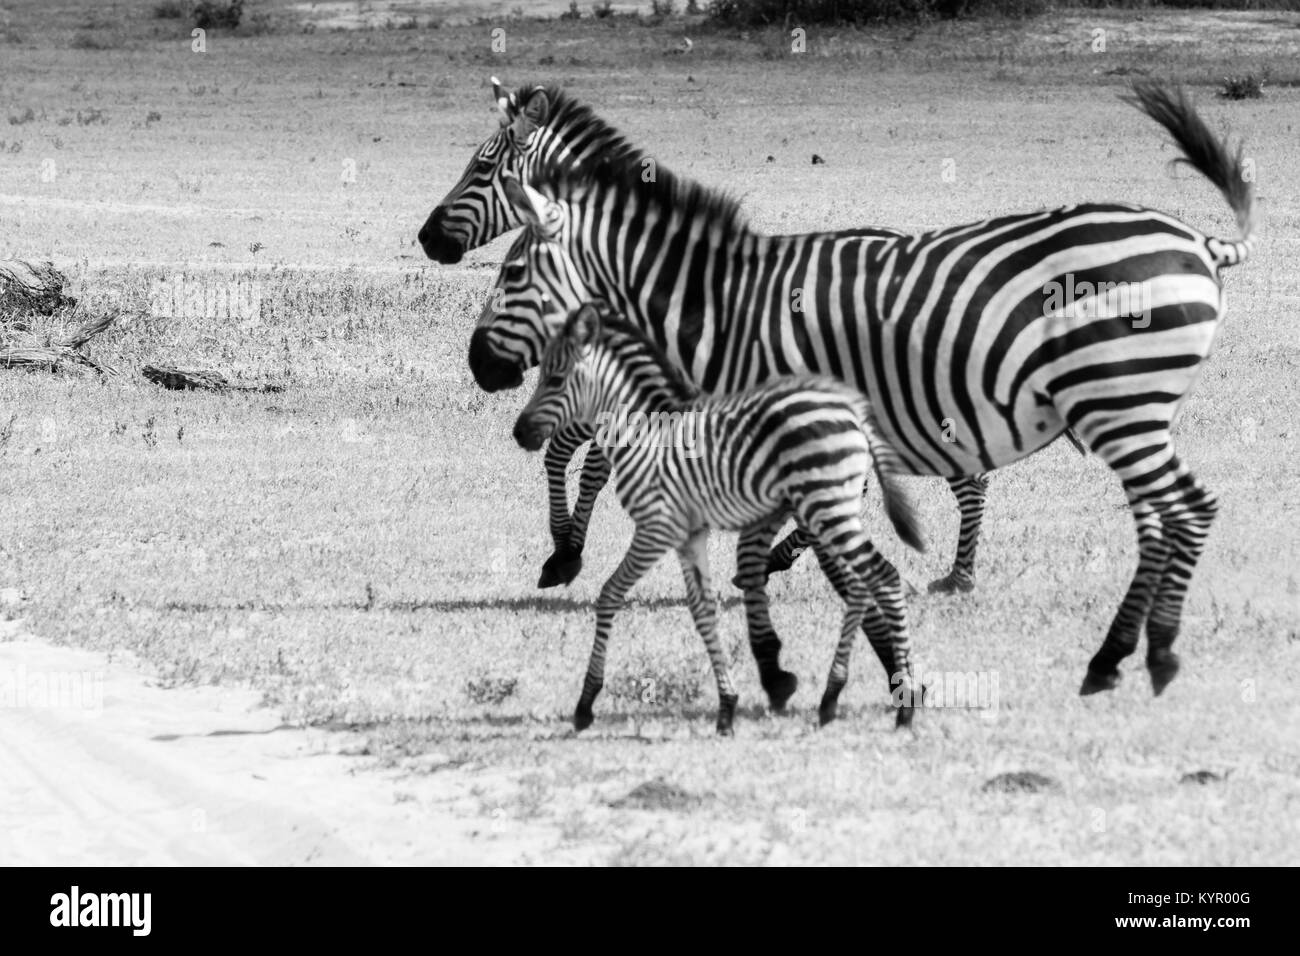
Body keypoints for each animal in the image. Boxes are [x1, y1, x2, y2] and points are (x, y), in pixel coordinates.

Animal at [416, 82, 993, 595]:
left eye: (481, 169)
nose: (426, 238)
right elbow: (581, 459)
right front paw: (568, 548)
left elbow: (572, 457)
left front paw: (564, 552)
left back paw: (957, 576)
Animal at [512, 304, 930, 733]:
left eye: (555, 379)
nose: (519, 432)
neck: (645, 438)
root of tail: (853, 412)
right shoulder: (689, 534)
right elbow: (702, 609)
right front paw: (727, 706)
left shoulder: (657, 528)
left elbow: (610, 593)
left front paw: (585, 702)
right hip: (831, 506)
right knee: (865, 582)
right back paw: (834, 697)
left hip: (824, 505)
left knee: (883, 577)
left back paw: (901, 706)